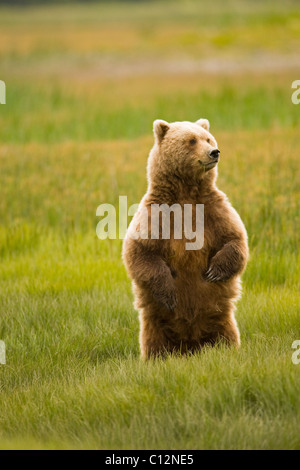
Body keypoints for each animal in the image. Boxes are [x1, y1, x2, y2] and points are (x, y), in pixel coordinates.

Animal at [122, 118, 248, 360]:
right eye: (191, 140)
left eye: (208, 138)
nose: (214, 152)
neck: (187, 194)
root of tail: (190, 346)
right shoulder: (156, 215)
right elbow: (141, 251)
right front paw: (170, 295)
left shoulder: (214, 210)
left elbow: (234, 239)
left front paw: (215, 271)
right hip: (155, 325)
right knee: (155, 343)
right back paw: (157, 358)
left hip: (222, 319)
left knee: (226, 335)